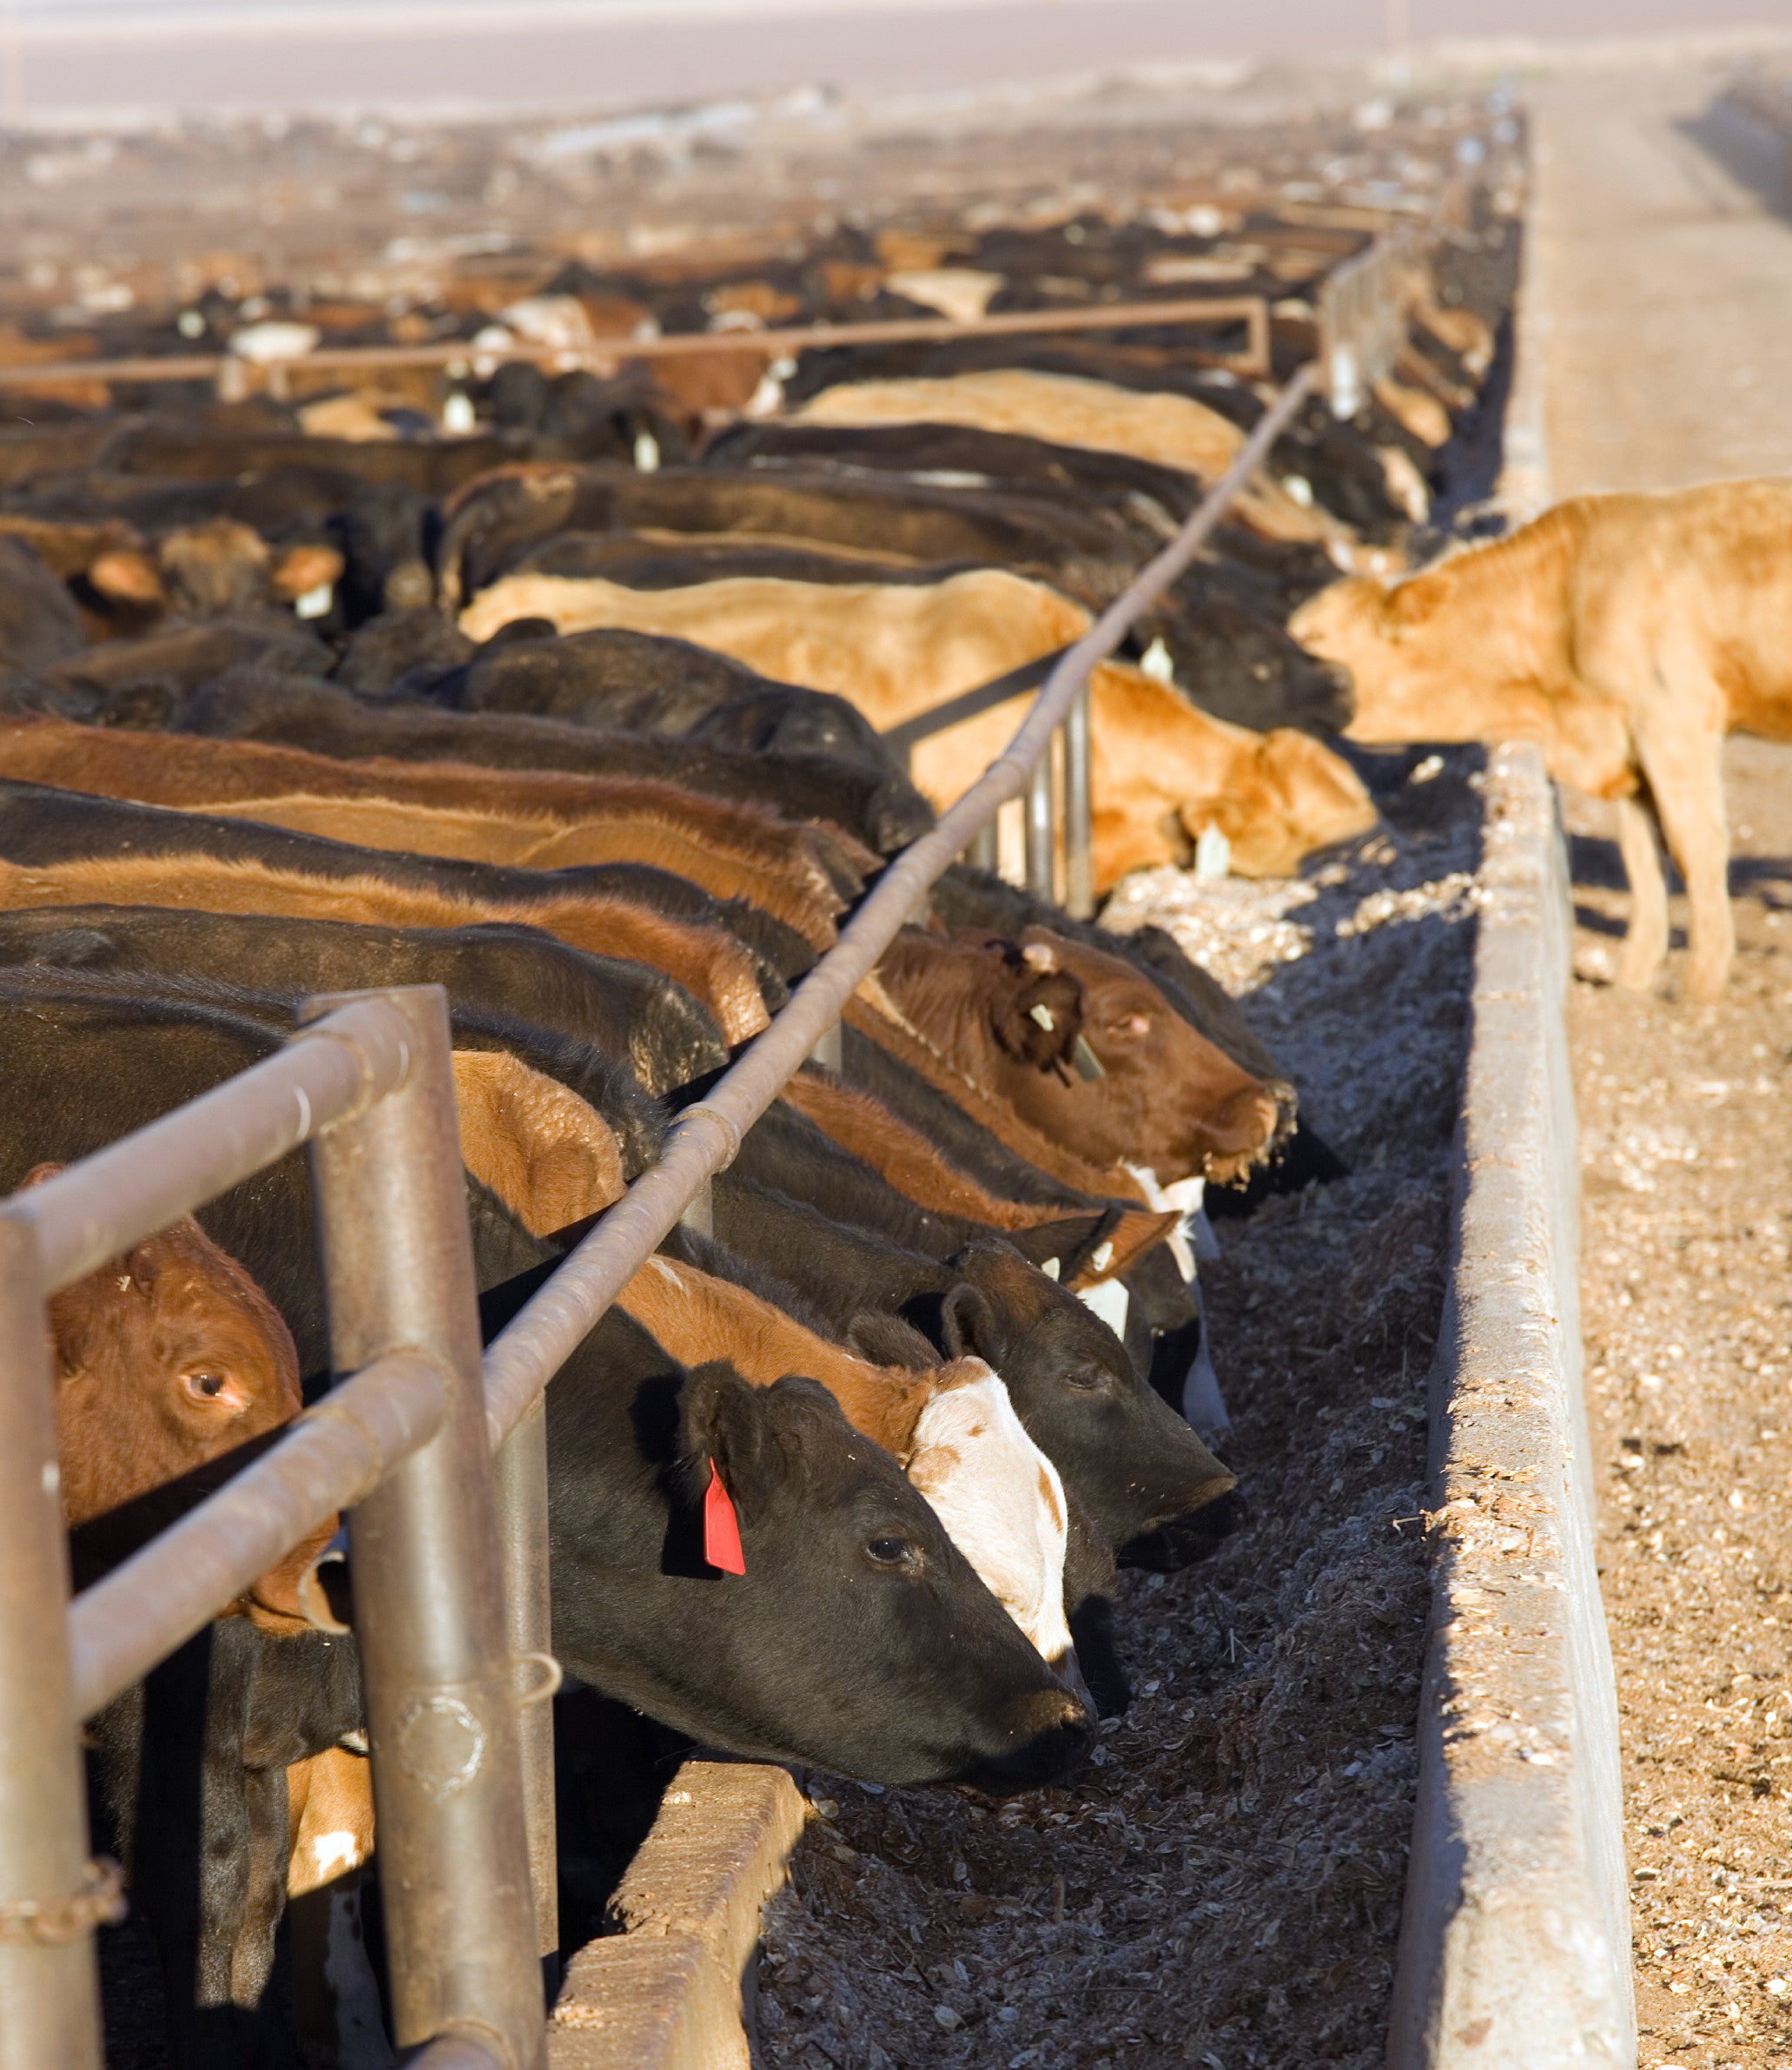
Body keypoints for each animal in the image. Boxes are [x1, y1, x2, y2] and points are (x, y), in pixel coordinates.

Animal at [1291, 484, 1788, 1002]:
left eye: (1313, 639)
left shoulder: (1673, 720)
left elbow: (1697, 846)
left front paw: (1699, 985)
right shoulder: (1628, 749)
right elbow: (1643, 857)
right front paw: (1632, 980)